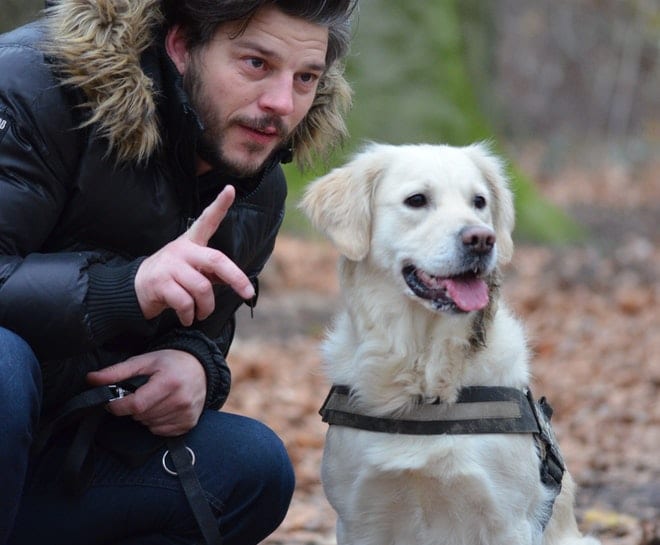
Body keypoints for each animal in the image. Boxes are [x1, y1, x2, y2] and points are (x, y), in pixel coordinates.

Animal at [300, 143, 600, 544]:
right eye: (417, 200)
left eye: (479, 201)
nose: (482, 239)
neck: (423, 369)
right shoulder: (359, 519)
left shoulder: (507, 521)